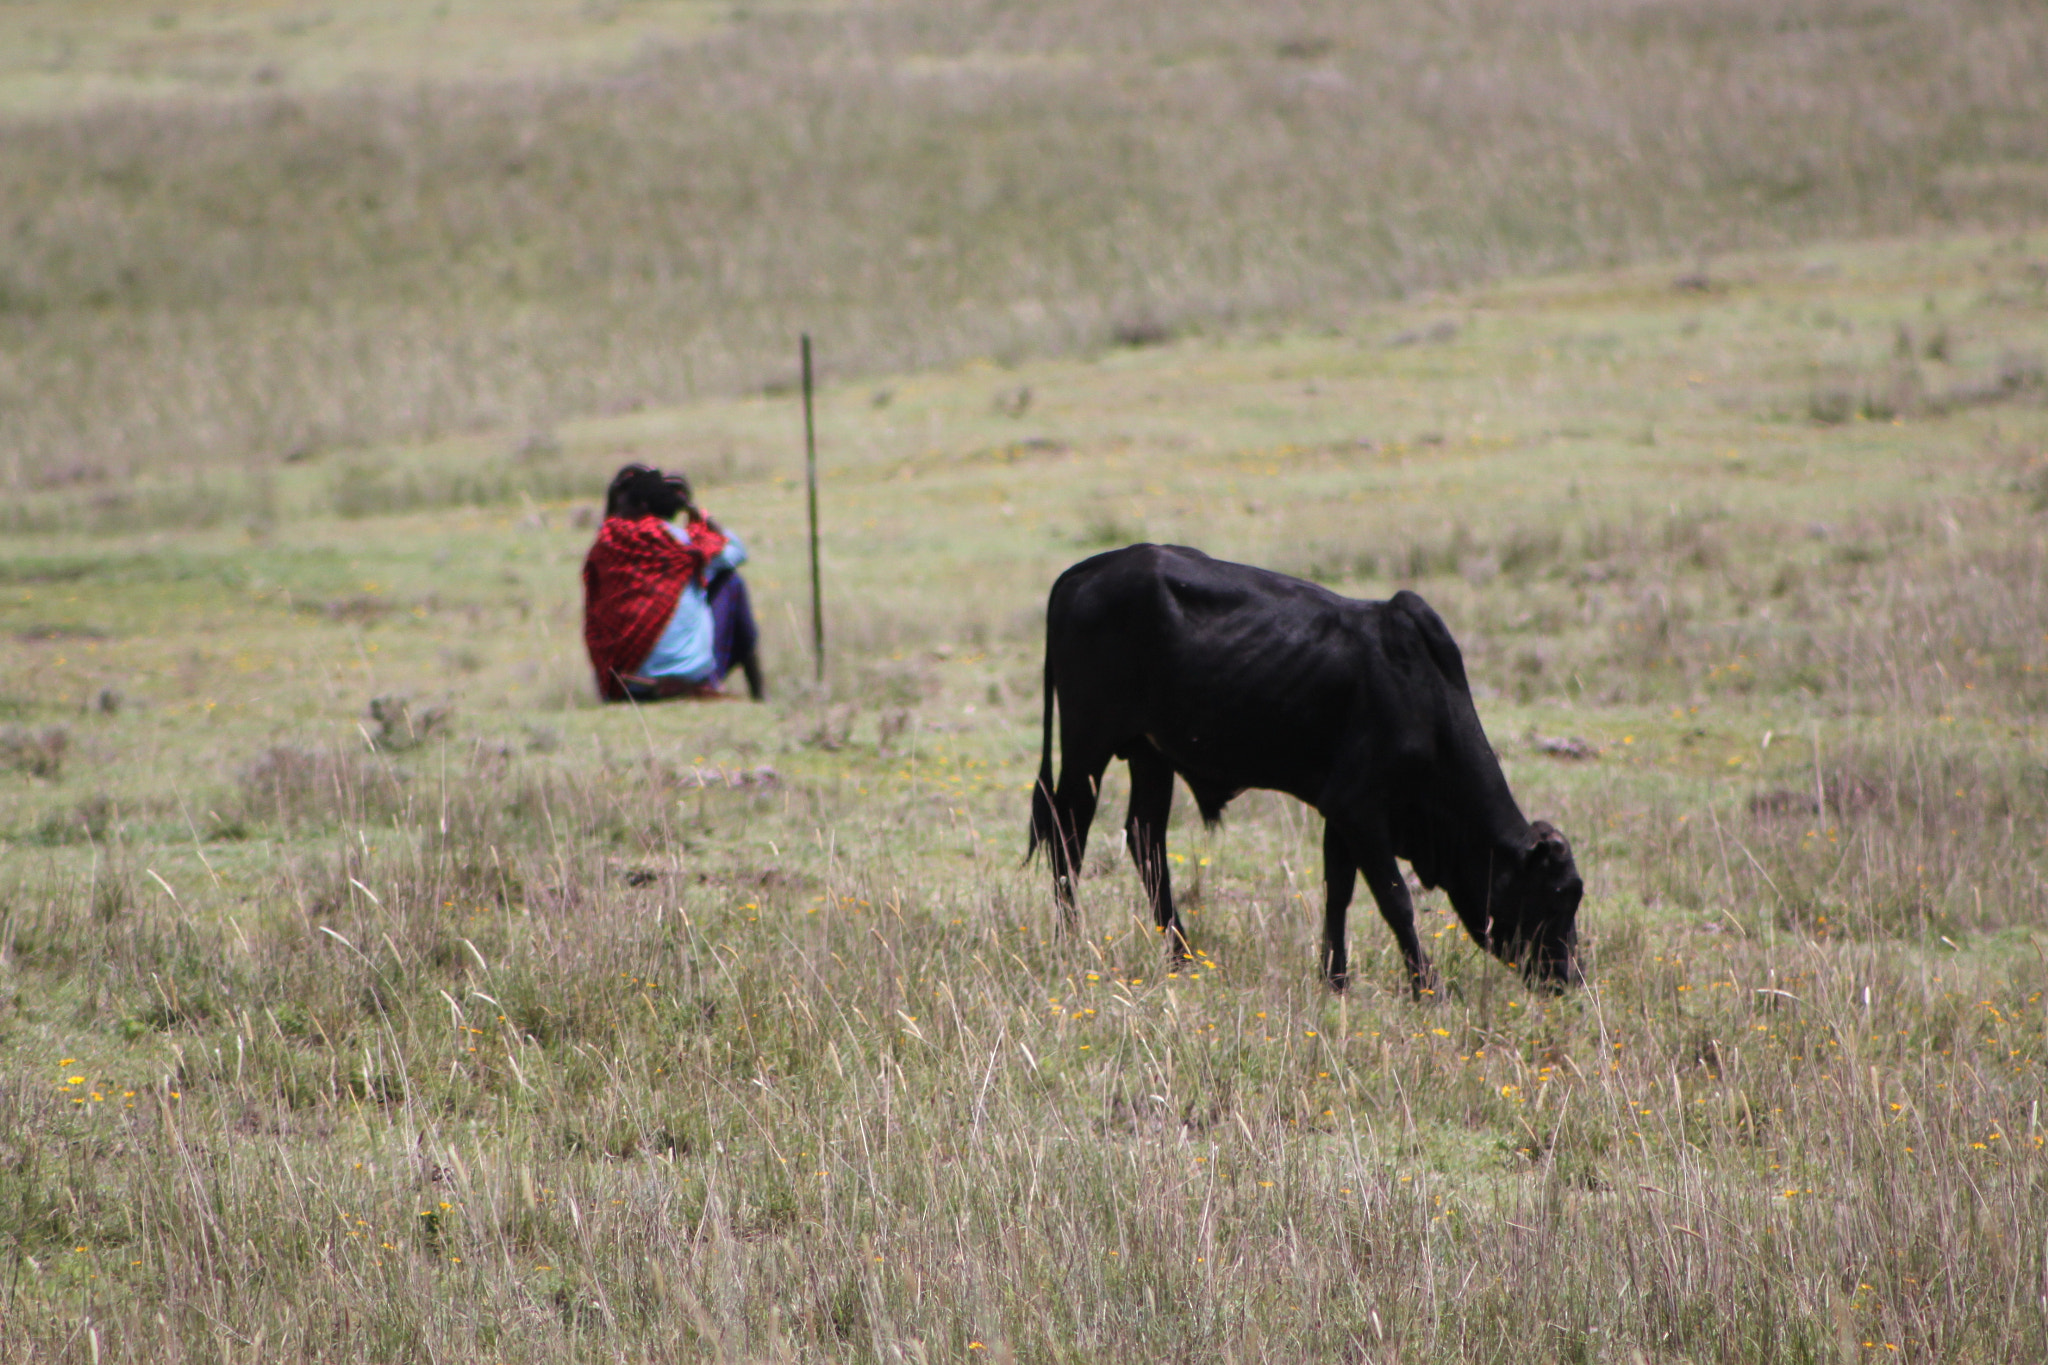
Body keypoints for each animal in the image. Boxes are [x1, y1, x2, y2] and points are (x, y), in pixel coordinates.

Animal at [1024, 540, 1581, 998]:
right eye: (1558, 895)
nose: (1569, 978)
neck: (1421, 697)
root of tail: (1084, 571)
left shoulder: (1340, 811)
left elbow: (1339, 893)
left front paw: (1335, 979)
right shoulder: (1360, 809)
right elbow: (1395, 899)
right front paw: (1427, 987)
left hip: (1150, 753)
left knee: (1145, 839)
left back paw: (1181, 956)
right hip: (1087, 746)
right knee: (1069, 833)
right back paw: (1071, 943)